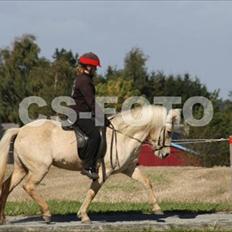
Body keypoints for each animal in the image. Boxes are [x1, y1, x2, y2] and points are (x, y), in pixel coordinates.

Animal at [0, 105, 180, 223]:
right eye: (169, 132)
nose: (165, 154)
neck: (124, 135)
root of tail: (21, 130)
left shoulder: (129, 168)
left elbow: (146, 181)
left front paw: (157, 208)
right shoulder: (102, 172)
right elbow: (92, 192)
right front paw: (84, 215)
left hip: (21, 168)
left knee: (7, 186)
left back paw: (3, 218)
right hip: (39, 168)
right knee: (28, 186)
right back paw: (47, 213)